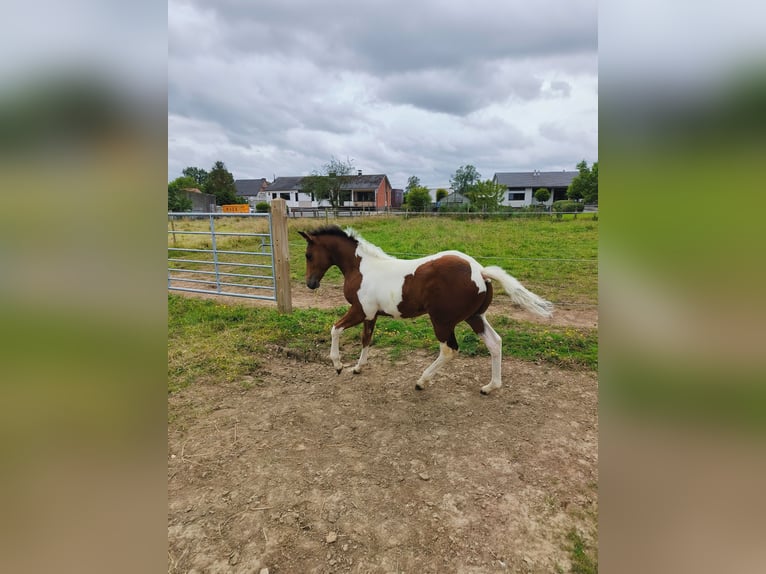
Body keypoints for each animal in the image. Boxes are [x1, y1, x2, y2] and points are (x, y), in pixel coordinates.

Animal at [296, 225, 556, 396]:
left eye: (308, 255)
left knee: (449, 350)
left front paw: (338, 365)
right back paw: (490, 386)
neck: (362, 268)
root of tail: (480, 271)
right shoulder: (370, 314)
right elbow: (366, 339)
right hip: (475, 317)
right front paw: (358, 368)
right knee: (495, 343)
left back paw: (422, 381)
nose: (311, 283)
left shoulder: (360, 310)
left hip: (442, 321)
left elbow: (335, 329)